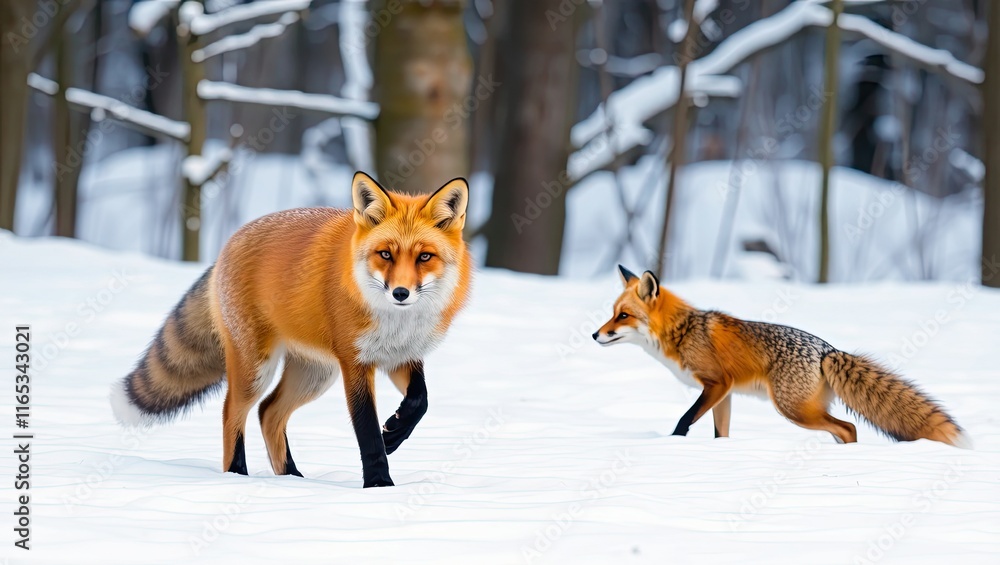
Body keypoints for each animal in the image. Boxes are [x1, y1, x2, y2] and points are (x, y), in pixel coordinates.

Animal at [110, 172, 473, 487]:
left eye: (424, 256)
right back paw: (236, 474)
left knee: (269, 412)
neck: (397, 322)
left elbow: (420, 401)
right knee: (233, 412)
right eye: (385, 254)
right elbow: (367, 431)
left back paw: (291, 479)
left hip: (315, 374)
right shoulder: (355, 363)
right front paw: (379, 484)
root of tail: (230, 242)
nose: (400, 293)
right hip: (258, 370)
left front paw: (395, 433)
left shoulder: (401, 356)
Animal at [592, 266, 968, 447]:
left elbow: (684, 420)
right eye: (613, 314)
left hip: (793, 410)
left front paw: (670, 446)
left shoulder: (716, 384)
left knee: (847, 428)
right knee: (845, 430)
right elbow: (720, 434)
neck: (683, 331)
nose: (595, 335)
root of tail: (828, 350)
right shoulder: (724, 393)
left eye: (623, 316)